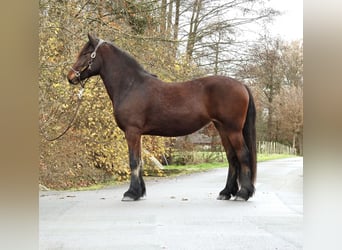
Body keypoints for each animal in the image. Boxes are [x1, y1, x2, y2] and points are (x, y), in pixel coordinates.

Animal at [67, 33, 256, 201]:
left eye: (85, 53)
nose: (70, 77)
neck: (131, 85)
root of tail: (242, 85)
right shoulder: (138, 134)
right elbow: (140, 161)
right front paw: (139, 193)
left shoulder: (132, 132)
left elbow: (133, 161)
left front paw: (131, 193)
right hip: (222, 128)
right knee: (232, 157)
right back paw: (226, 192)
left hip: (233, 129)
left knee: (243, 155)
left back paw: (243, 194)